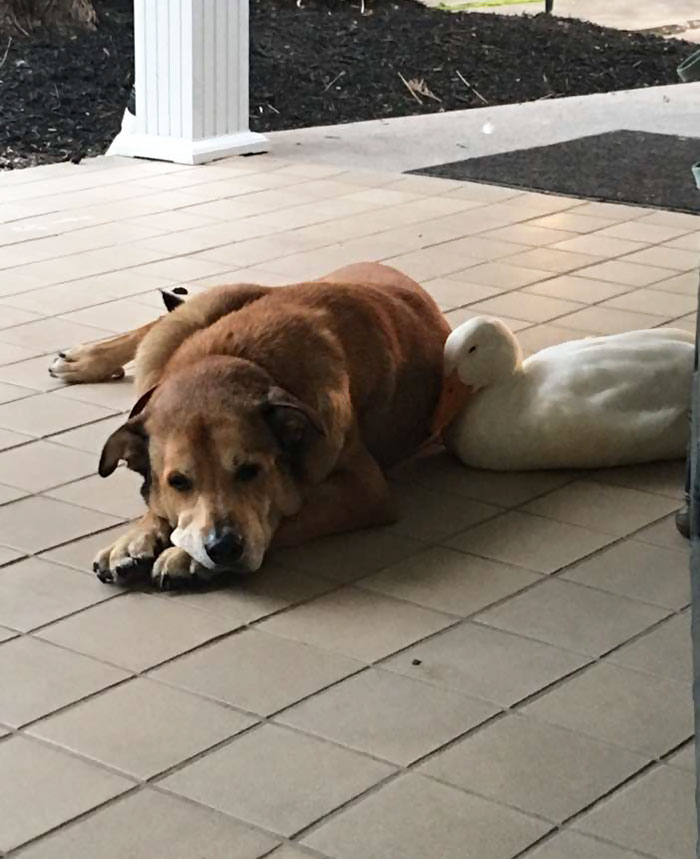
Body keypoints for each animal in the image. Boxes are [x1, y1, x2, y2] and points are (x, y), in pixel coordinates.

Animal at [52, 258, 452, 588]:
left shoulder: (364, 489)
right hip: (197, 314)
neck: (237, 357)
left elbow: (288, 514)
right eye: (179, 481)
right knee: (160, 322)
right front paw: (137, 537)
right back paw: (86, 358)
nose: (223, 548)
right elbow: (156, 499)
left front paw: (184, 556)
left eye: (250, 471)